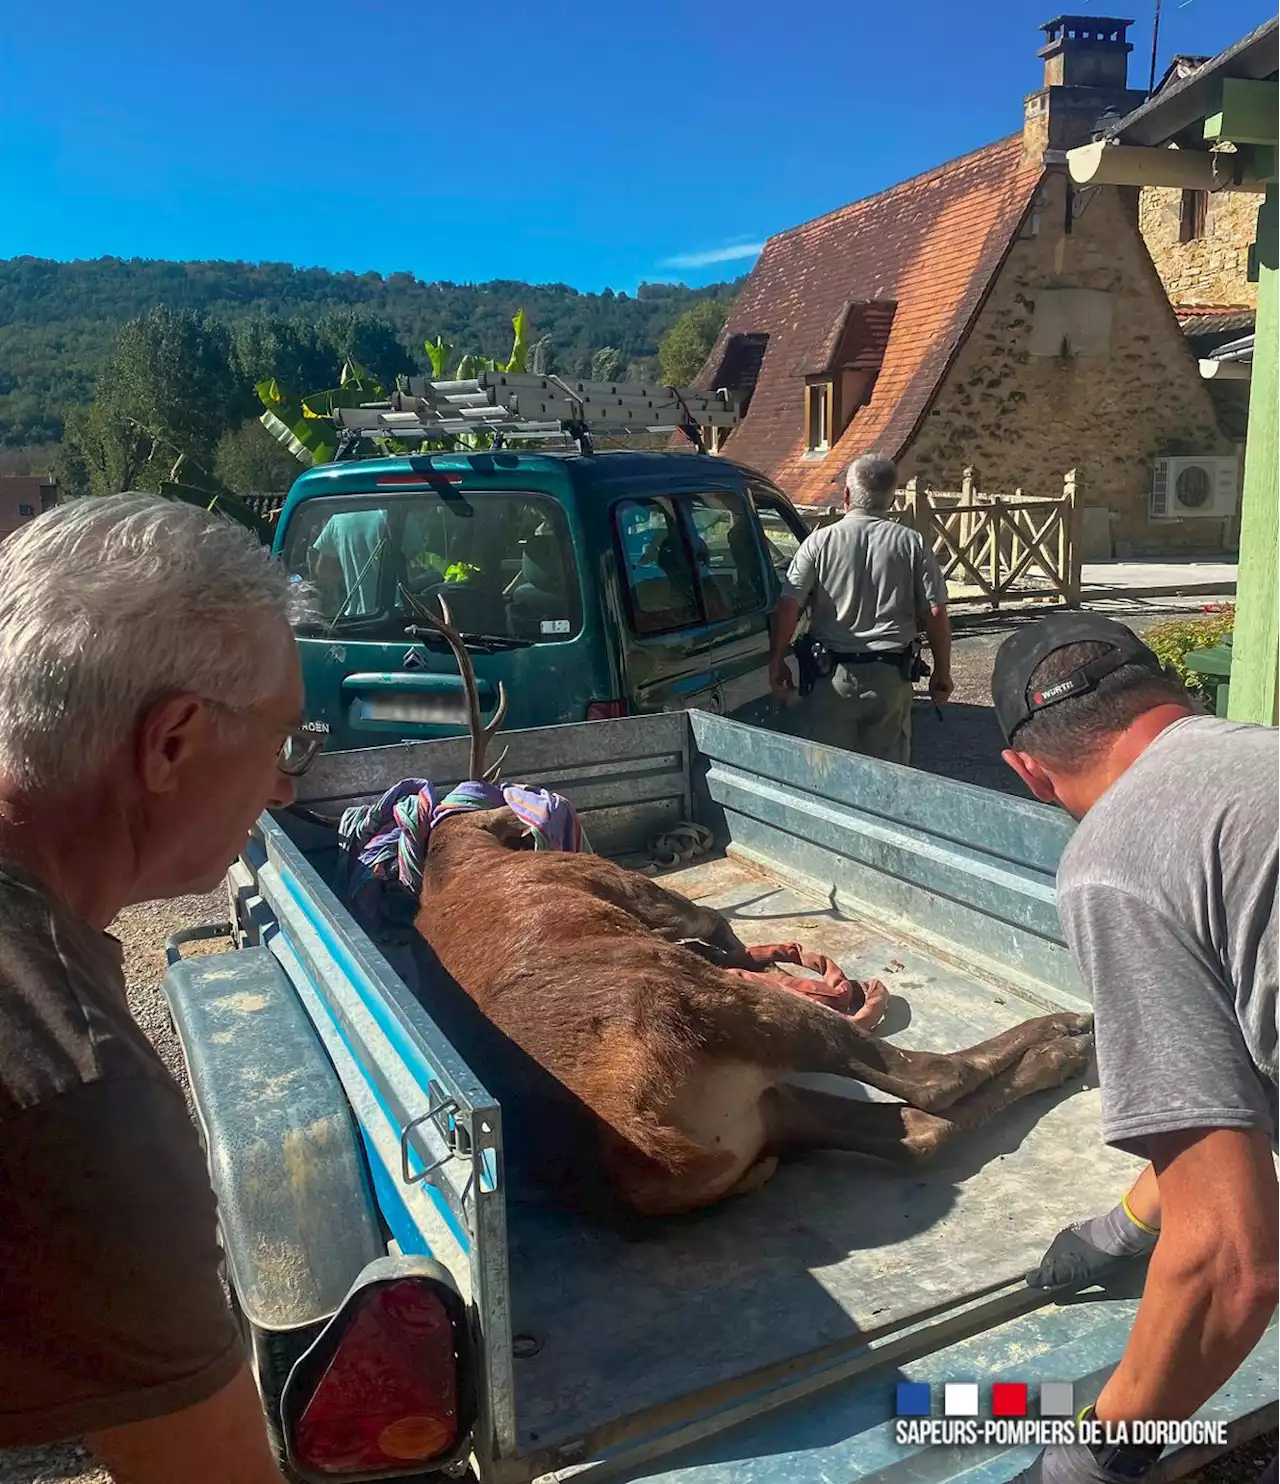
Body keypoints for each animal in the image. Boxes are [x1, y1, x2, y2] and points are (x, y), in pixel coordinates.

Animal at [409, 590, 1091, 1216]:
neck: (453, 858)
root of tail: (659, 1152)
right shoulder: (619, 884)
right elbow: (708, 917)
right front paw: (746, 951)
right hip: (719, 1014)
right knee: (928, 1081)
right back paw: (1064, 1033)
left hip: (769, 1111)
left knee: (912, 1133)